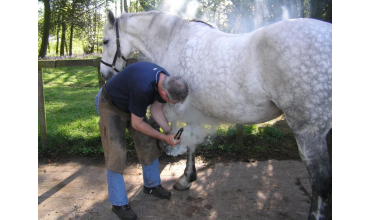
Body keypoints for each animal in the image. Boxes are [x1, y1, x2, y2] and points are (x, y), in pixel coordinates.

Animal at [98, 10, 332, 220]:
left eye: (105, 41)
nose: (104, 73)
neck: (174, 40)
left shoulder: (183, 109)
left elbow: (186, 142)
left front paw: (185, 177)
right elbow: (191, 142)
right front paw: (187, 178)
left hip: (307, 132)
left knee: (321, 182)